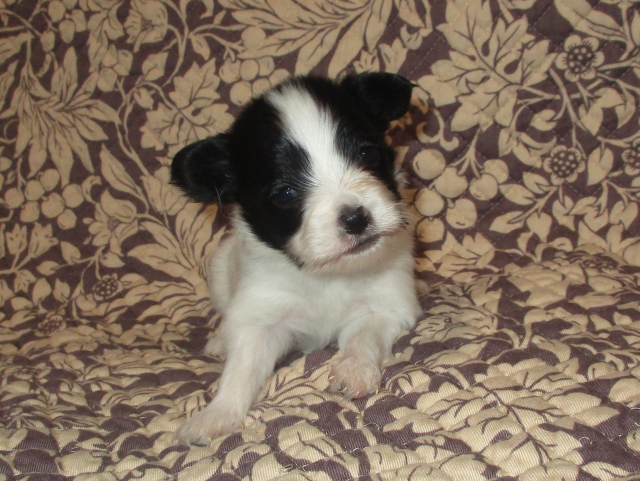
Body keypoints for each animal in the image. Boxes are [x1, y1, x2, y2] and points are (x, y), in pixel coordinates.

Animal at [171, 72, 421, 446]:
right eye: (286, 193)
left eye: (367, 152)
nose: (356, 218)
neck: (329, 273)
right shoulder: (260, 316)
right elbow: (241, 369)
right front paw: (216, 414)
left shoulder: (385, 304)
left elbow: (364, 337)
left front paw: (355, 370)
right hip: (218, 271)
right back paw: (218, 341)